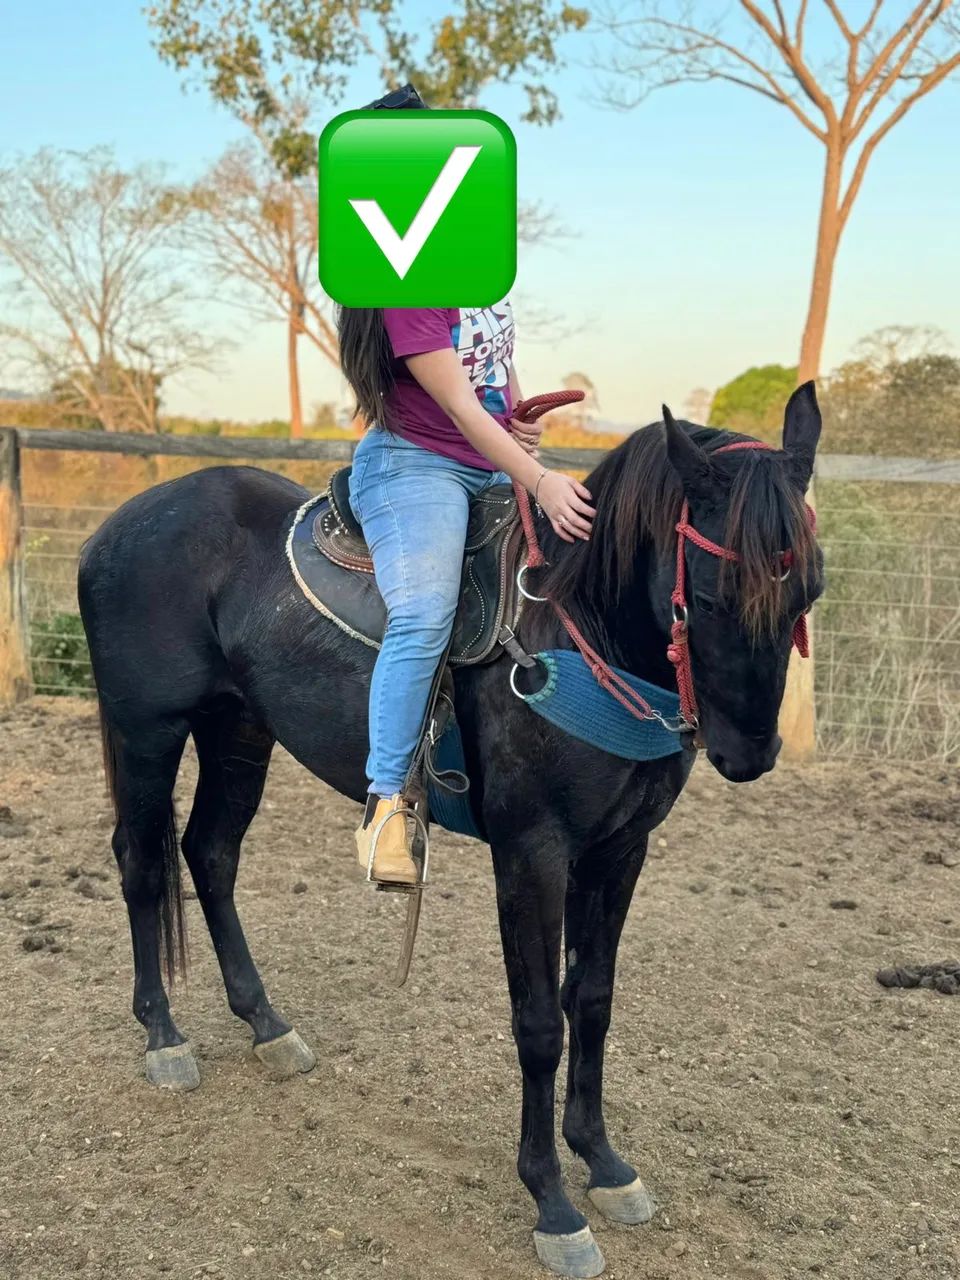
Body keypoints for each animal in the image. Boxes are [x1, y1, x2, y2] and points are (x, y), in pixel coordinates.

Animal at [77, 383, 824, 1279]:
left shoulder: (619, 851)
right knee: (143, 866)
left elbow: (593, 1002)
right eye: (708, 597)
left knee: (210, 856)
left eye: (810, 592)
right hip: (147, 731)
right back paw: (163, 1035)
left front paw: (604, 1163)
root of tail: (120, 525)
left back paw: (267, 1024)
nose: (750, 753)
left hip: (238, 731)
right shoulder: (533, 854)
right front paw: (552, 1202)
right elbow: (539, 1023)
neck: (577, 626)